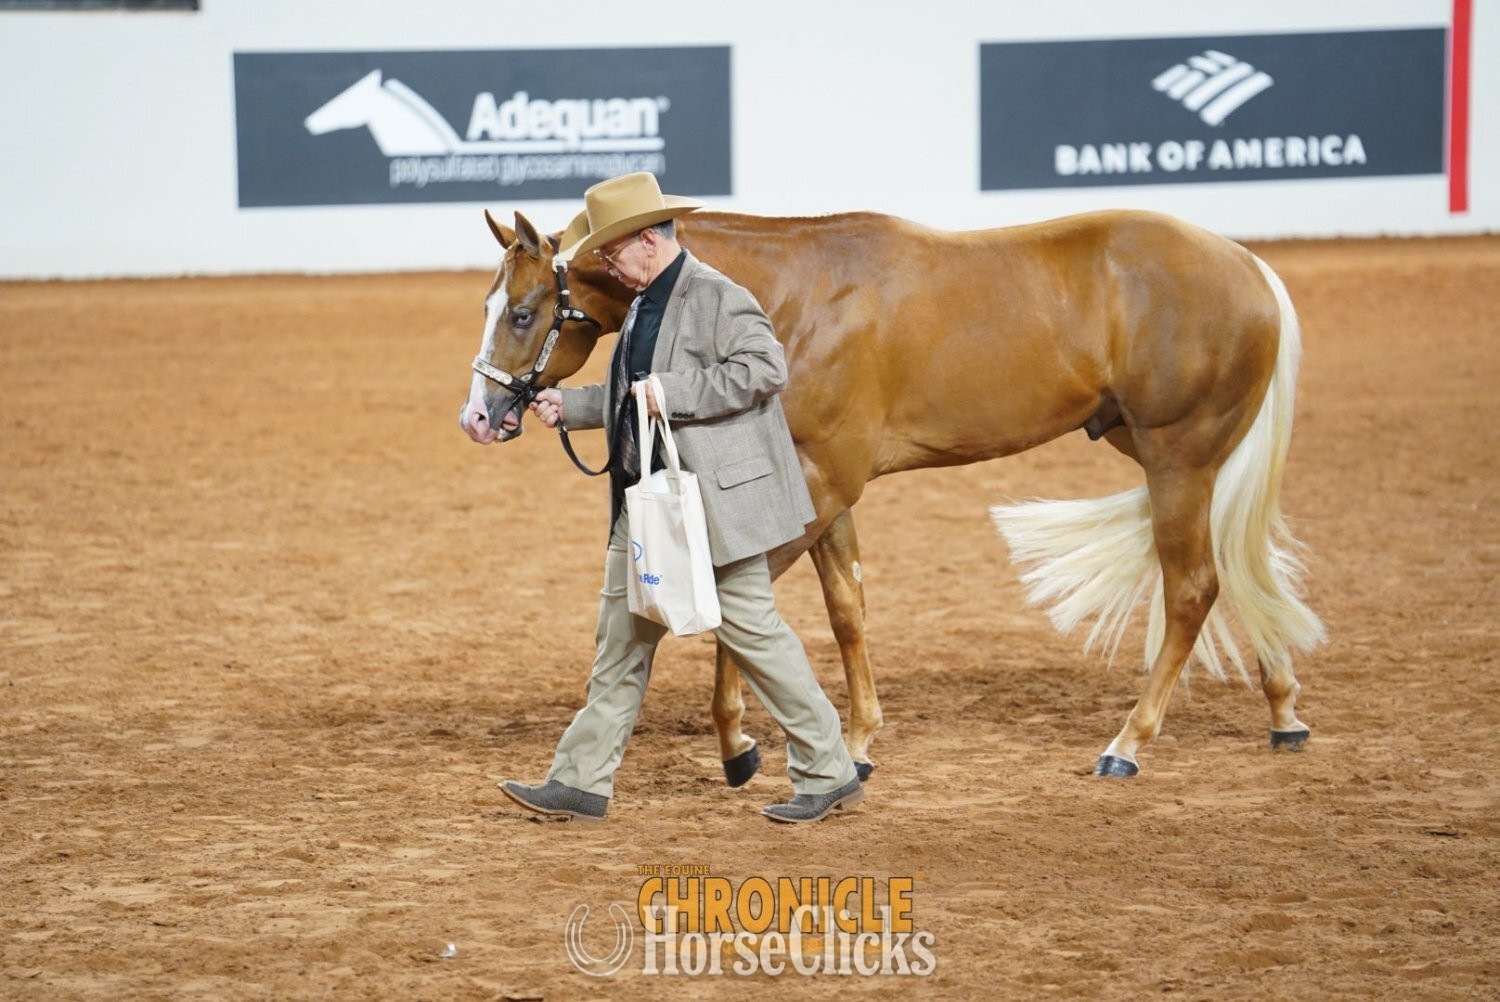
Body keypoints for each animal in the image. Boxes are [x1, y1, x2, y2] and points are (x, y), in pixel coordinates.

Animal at [458, 208, 1325, 781]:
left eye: (526, 313)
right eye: (489, 306)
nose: (480, 415)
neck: (788, 297)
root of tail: (1250, 268)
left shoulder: (822, 480)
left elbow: (744, 602)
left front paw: (740, 743)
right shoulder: (828, 490)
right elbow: (847, 609)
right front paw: (859, 741)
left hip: (1179, 455)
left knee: (1195, 587)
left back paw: (1128, 744)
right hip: (1165, 453)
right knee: (1242, 566)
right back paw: (1283, 711)